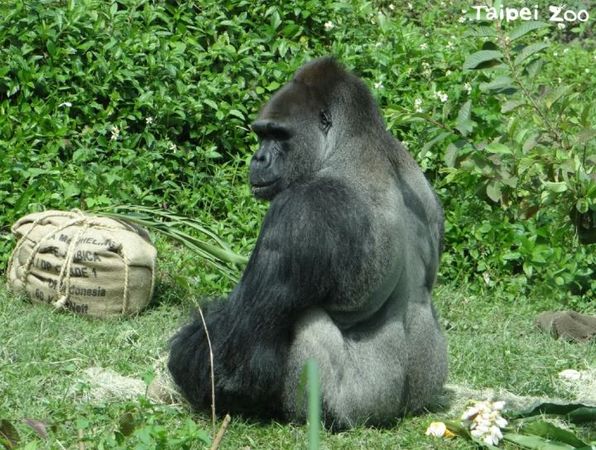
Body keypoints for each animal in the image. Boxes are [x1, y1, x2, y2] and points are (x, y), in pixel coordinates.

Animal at [168, 57, 448, 428]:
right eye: (261, 134)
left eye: (278, 134)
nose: (258, 159)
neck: (355, 143)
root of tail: (400, 413)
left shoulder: (301, 210)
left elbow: (232, 364)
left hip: (353, 411)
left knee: (305, 322)